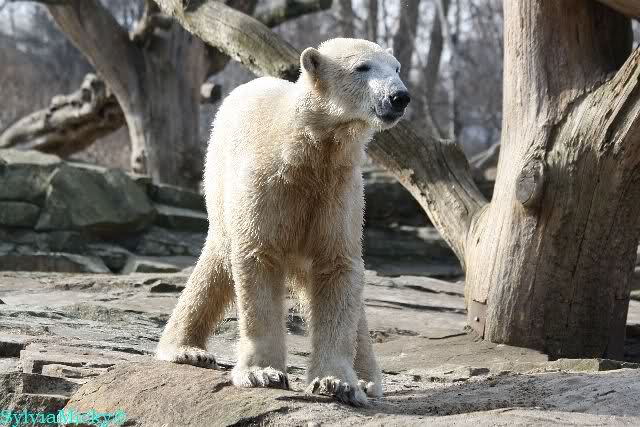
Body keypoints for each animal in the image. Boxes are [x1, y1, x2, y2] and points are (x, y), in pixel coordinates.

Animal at [156, 38, 410, 406]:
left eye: (397, 68)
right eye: (362, 67)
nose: (399, 96)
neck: (305, 150)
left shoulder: (339, 190)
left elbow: (337, 266)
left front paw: (338, 382)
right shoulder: (267, 184)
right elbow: (257, 256)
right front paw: (263, 373)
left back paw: (366, 379)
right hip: (218, 179)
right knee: (217, 259)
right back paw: (186, 349)